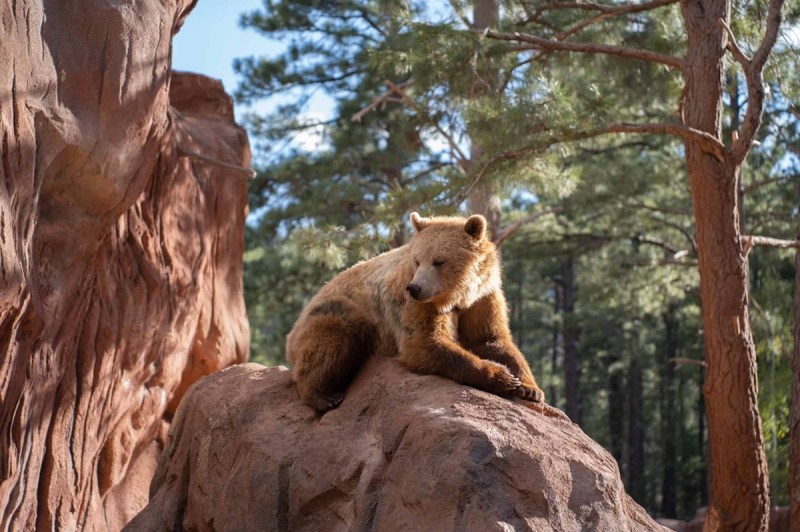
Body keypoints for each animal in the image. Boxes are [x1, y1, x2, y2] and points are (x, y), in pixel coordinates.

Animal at [285, 212, 544, 412]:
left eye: (439, 261)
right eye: (418, 260)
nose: (415, 288)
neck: (458, 294)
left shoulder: (482, 298)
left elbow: (491, 339)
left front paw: (530, 388)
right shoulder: (415, 304)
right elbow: (425, 342)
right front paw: (503, 377)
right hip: (340, 311)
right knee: (332, 342)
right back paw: (324, 396)